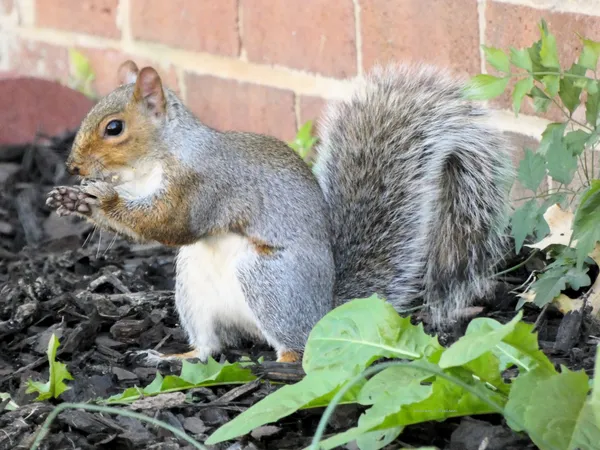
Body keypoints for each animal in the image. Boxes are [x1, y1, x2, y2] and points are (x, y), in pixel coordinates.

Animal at [47, 59, 516, 364]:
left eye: (114, 128)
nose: (73, 166)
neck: (151, 166)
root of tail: (324, 312)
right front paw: (77, 198)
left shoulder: (206, 186)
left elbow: (171, 223)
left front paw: (99, 200)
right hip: (193, 287)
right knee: (211, 347)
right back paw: (176, 357)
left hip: (268, 279)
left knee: (296, 346)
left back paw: (283, 364)